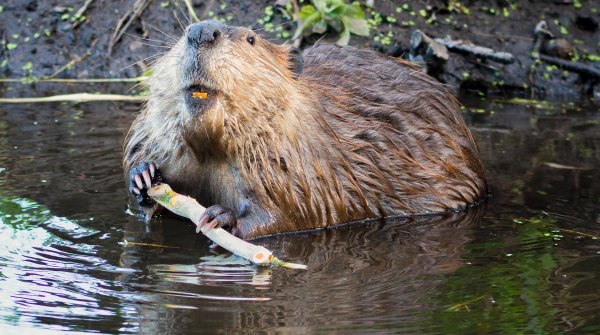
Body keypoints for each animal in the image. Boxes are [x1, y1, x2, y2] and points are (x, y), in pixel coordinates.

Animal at [122, 19, 488, 240]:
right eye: (182, 33)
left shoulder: (297, 168)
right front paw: (144, 176)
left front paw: (221, 218)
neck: (212, 147)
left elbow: (290, 214)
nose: (201, 31)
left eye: (251, 38)